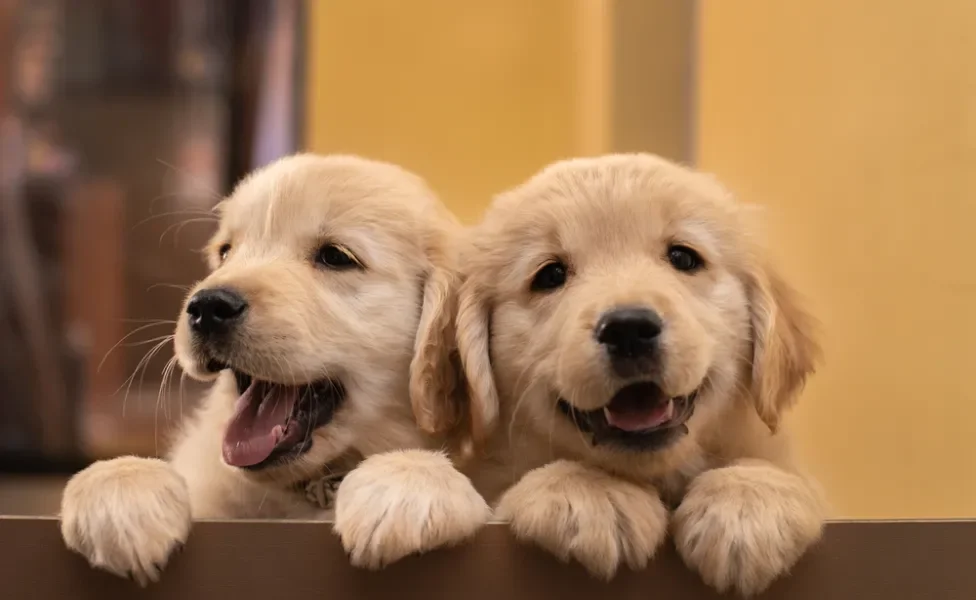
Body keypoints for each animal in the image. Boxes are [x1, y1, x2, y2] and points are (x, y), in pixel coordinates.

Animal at [57, 152, 492, 584]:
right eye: (225, 252)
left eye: (336, 257)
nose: (207, 306)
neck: (307, 487)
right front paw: (119, 486)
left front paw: (406, 481)